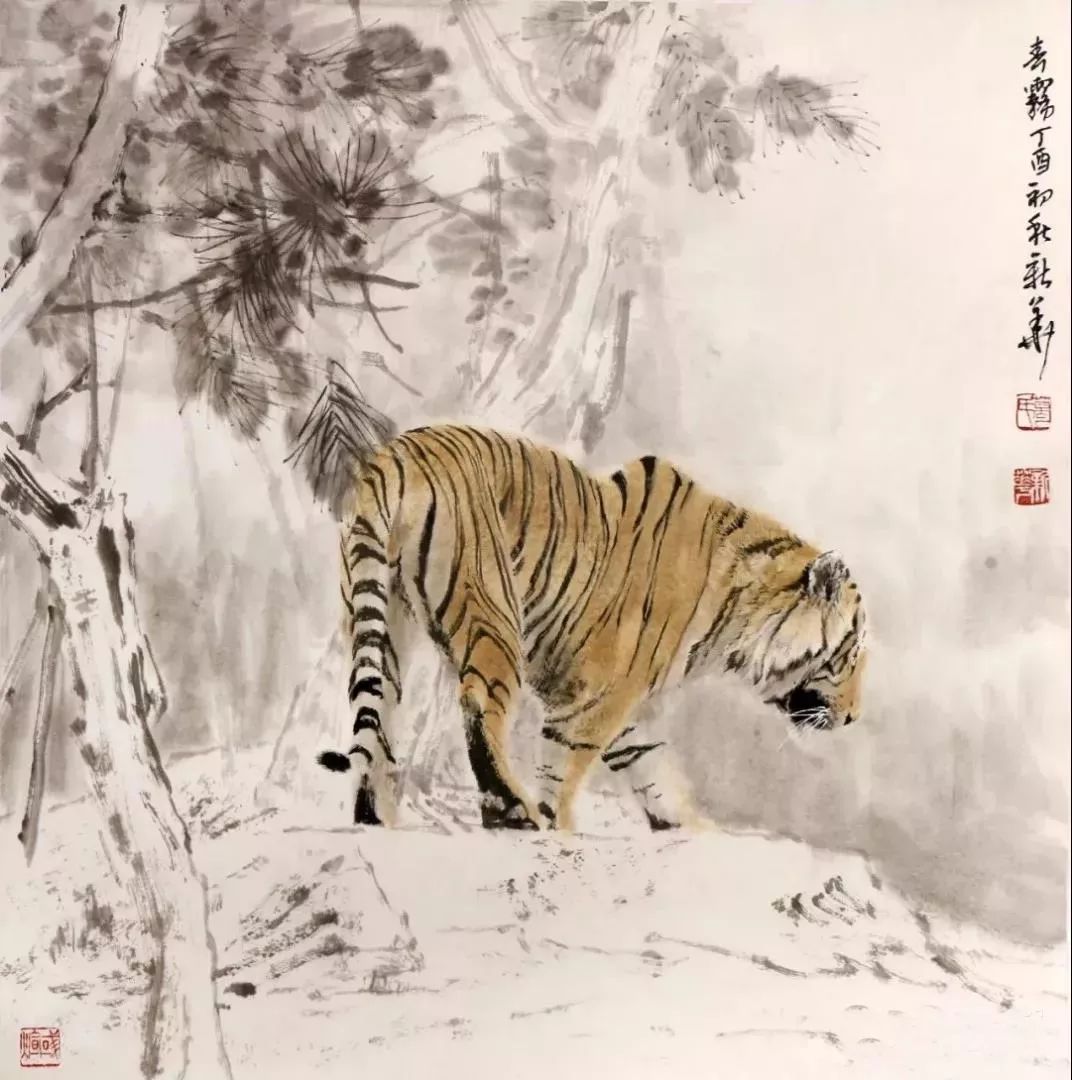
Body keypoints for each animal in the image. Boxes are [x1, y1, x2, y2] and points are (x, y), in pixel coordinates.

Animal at [317, 422, 868, 833]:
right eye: (850, 654)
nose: (854, 718)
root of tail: (396, 457)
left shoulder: (629, 715)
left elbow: (658, 775)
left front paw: (695, 831)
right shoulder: (592, 702)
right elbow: (560, 774)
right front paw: (554, 825)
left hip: (386, 622)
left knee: (378, 714)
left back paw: (374, 816)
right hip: (493, 614)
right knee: (478, 703)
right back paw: (510, 808)